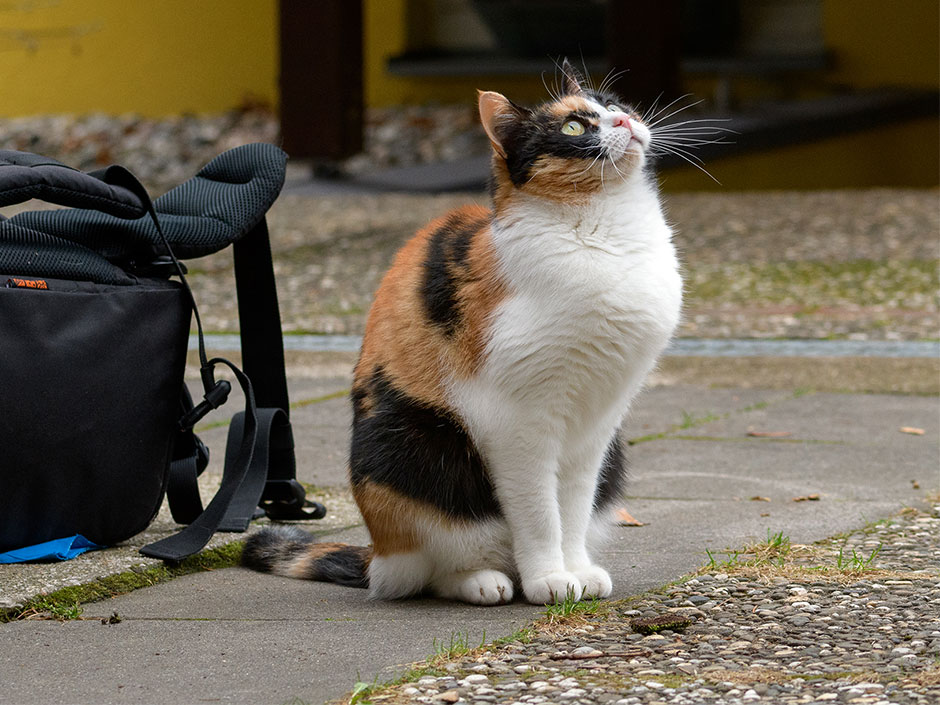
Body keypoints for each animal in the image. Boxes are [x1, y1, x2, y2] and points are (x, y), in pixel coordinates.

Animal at [242, 60, 684, 604]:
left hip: (613, 456)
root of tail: (376, 556)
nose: (624, 122)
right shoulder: (517, 422)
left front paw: (577, 568)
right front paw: (549, 578)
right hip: (416, 447)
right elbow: (540, 513)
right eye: (574, 128)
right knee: (430, 568)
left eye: (615, 104)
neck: (607, 235)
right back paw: (486, 580)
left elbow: (574, 507)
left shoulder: (599, 422)